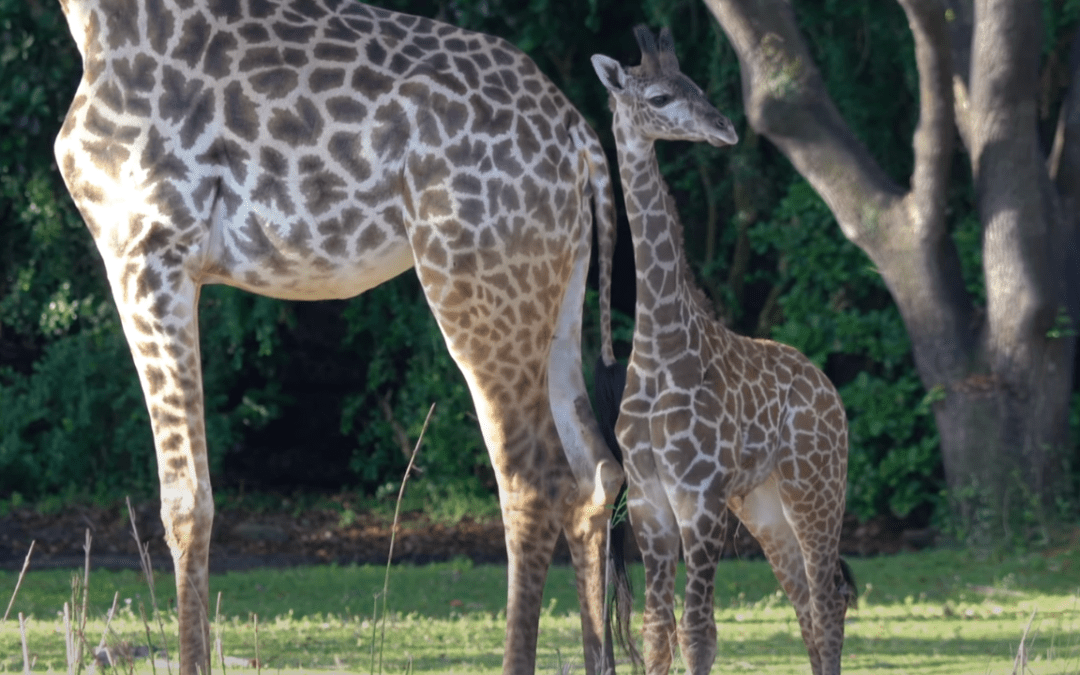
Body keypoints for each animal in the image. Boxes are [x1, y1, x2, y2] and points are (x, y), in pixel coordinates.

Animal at [52, 1, 625, 672]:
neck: (99, 24)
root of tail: (579, 139)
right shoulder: (167, 264)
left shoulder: (149, 250)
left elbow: (185, 501)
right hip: (555, 296)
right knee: (595, 473)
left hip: (472, 280)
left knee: (533, 478)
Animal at [591, 27, 856, 675]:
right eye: (659, 96)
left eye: (700, 87)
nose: (724, 128)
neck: (660, 348)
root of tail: (828, 389)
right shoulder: (650, 505)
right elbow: (658, 633)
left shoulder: (700, 501)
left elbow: (700, 634)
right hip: (763, 504)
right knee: (806, 605)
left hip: (816, 487)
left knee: (829, 597)